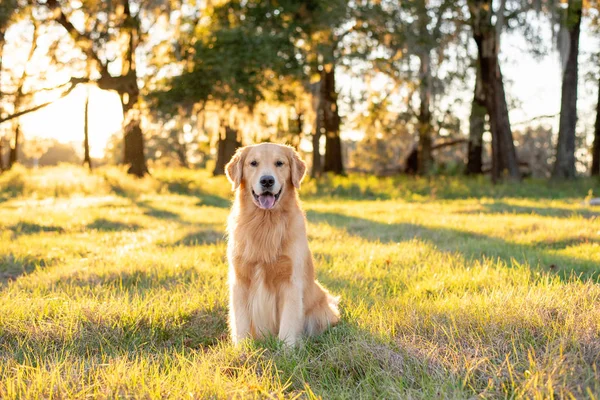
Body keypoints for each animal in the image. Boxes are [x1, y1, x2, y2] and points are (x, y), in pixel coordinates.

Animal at [225, 142, 340, 346]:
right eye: (253, 163)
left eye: (279, 163)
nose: (267, 181)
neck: (265, 222)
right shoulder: (240, 280)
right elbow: (241, 323)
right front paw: (242, 349)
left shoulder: (290, 281)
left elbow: (288, 323)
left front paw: (287, 350)